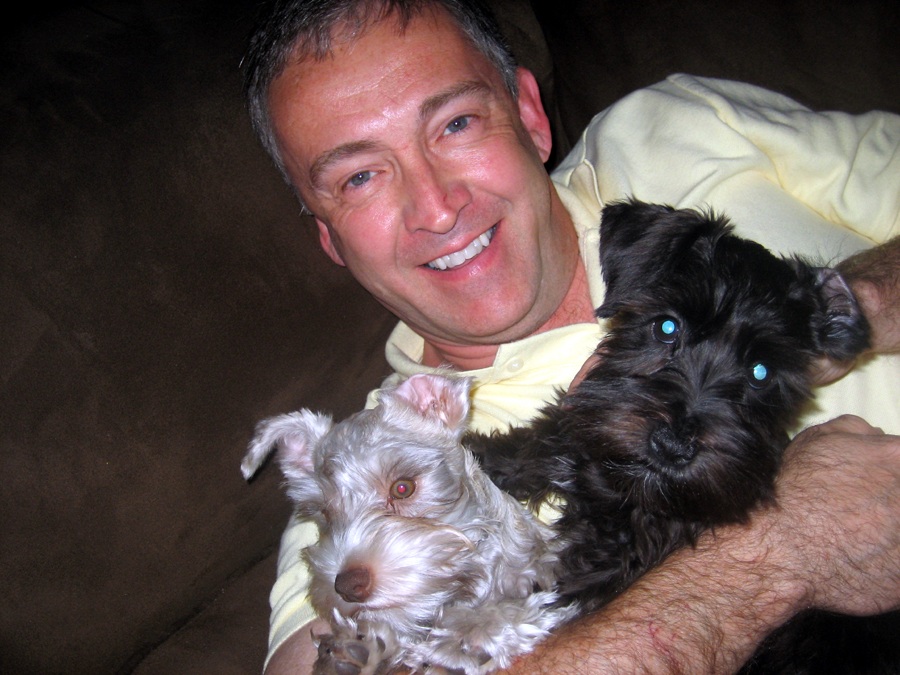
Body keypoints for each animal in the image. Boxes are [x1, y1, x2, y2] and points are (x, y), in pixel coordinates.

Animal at [466, 199, 896, 673]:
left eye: (761, 372)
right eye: (667, 327)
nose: (672, 447)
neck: (632, 494)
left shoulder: (613, 563)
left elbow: (561, 589)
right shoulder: (592, 425)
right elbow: (545, 439)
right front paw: (469, 452)